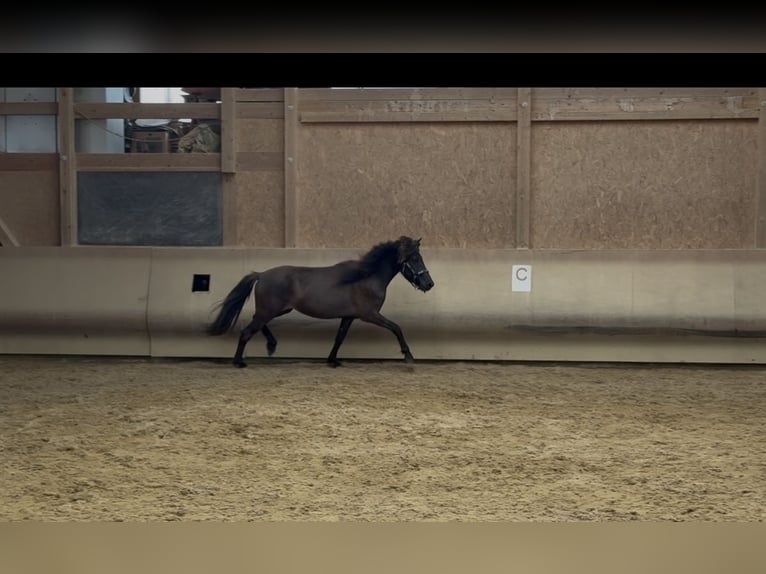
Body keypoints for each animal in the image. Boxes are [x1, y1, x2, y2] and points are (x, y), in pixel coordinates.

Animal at [206, 236, 435, 368]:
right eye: (415, 259)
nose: (429, 283)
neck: (365, 277)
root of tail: (260, 275)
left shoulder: (349, 316)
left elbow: (339, 338)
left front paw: (332, 361)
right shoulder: (370, 315)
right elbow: (396, 327)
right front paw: (408, 355)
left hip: (277, 310)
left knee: (256, 324)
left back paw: (271, 345)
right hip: (270, 311)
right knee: (247, 331)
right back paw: (239, 362)